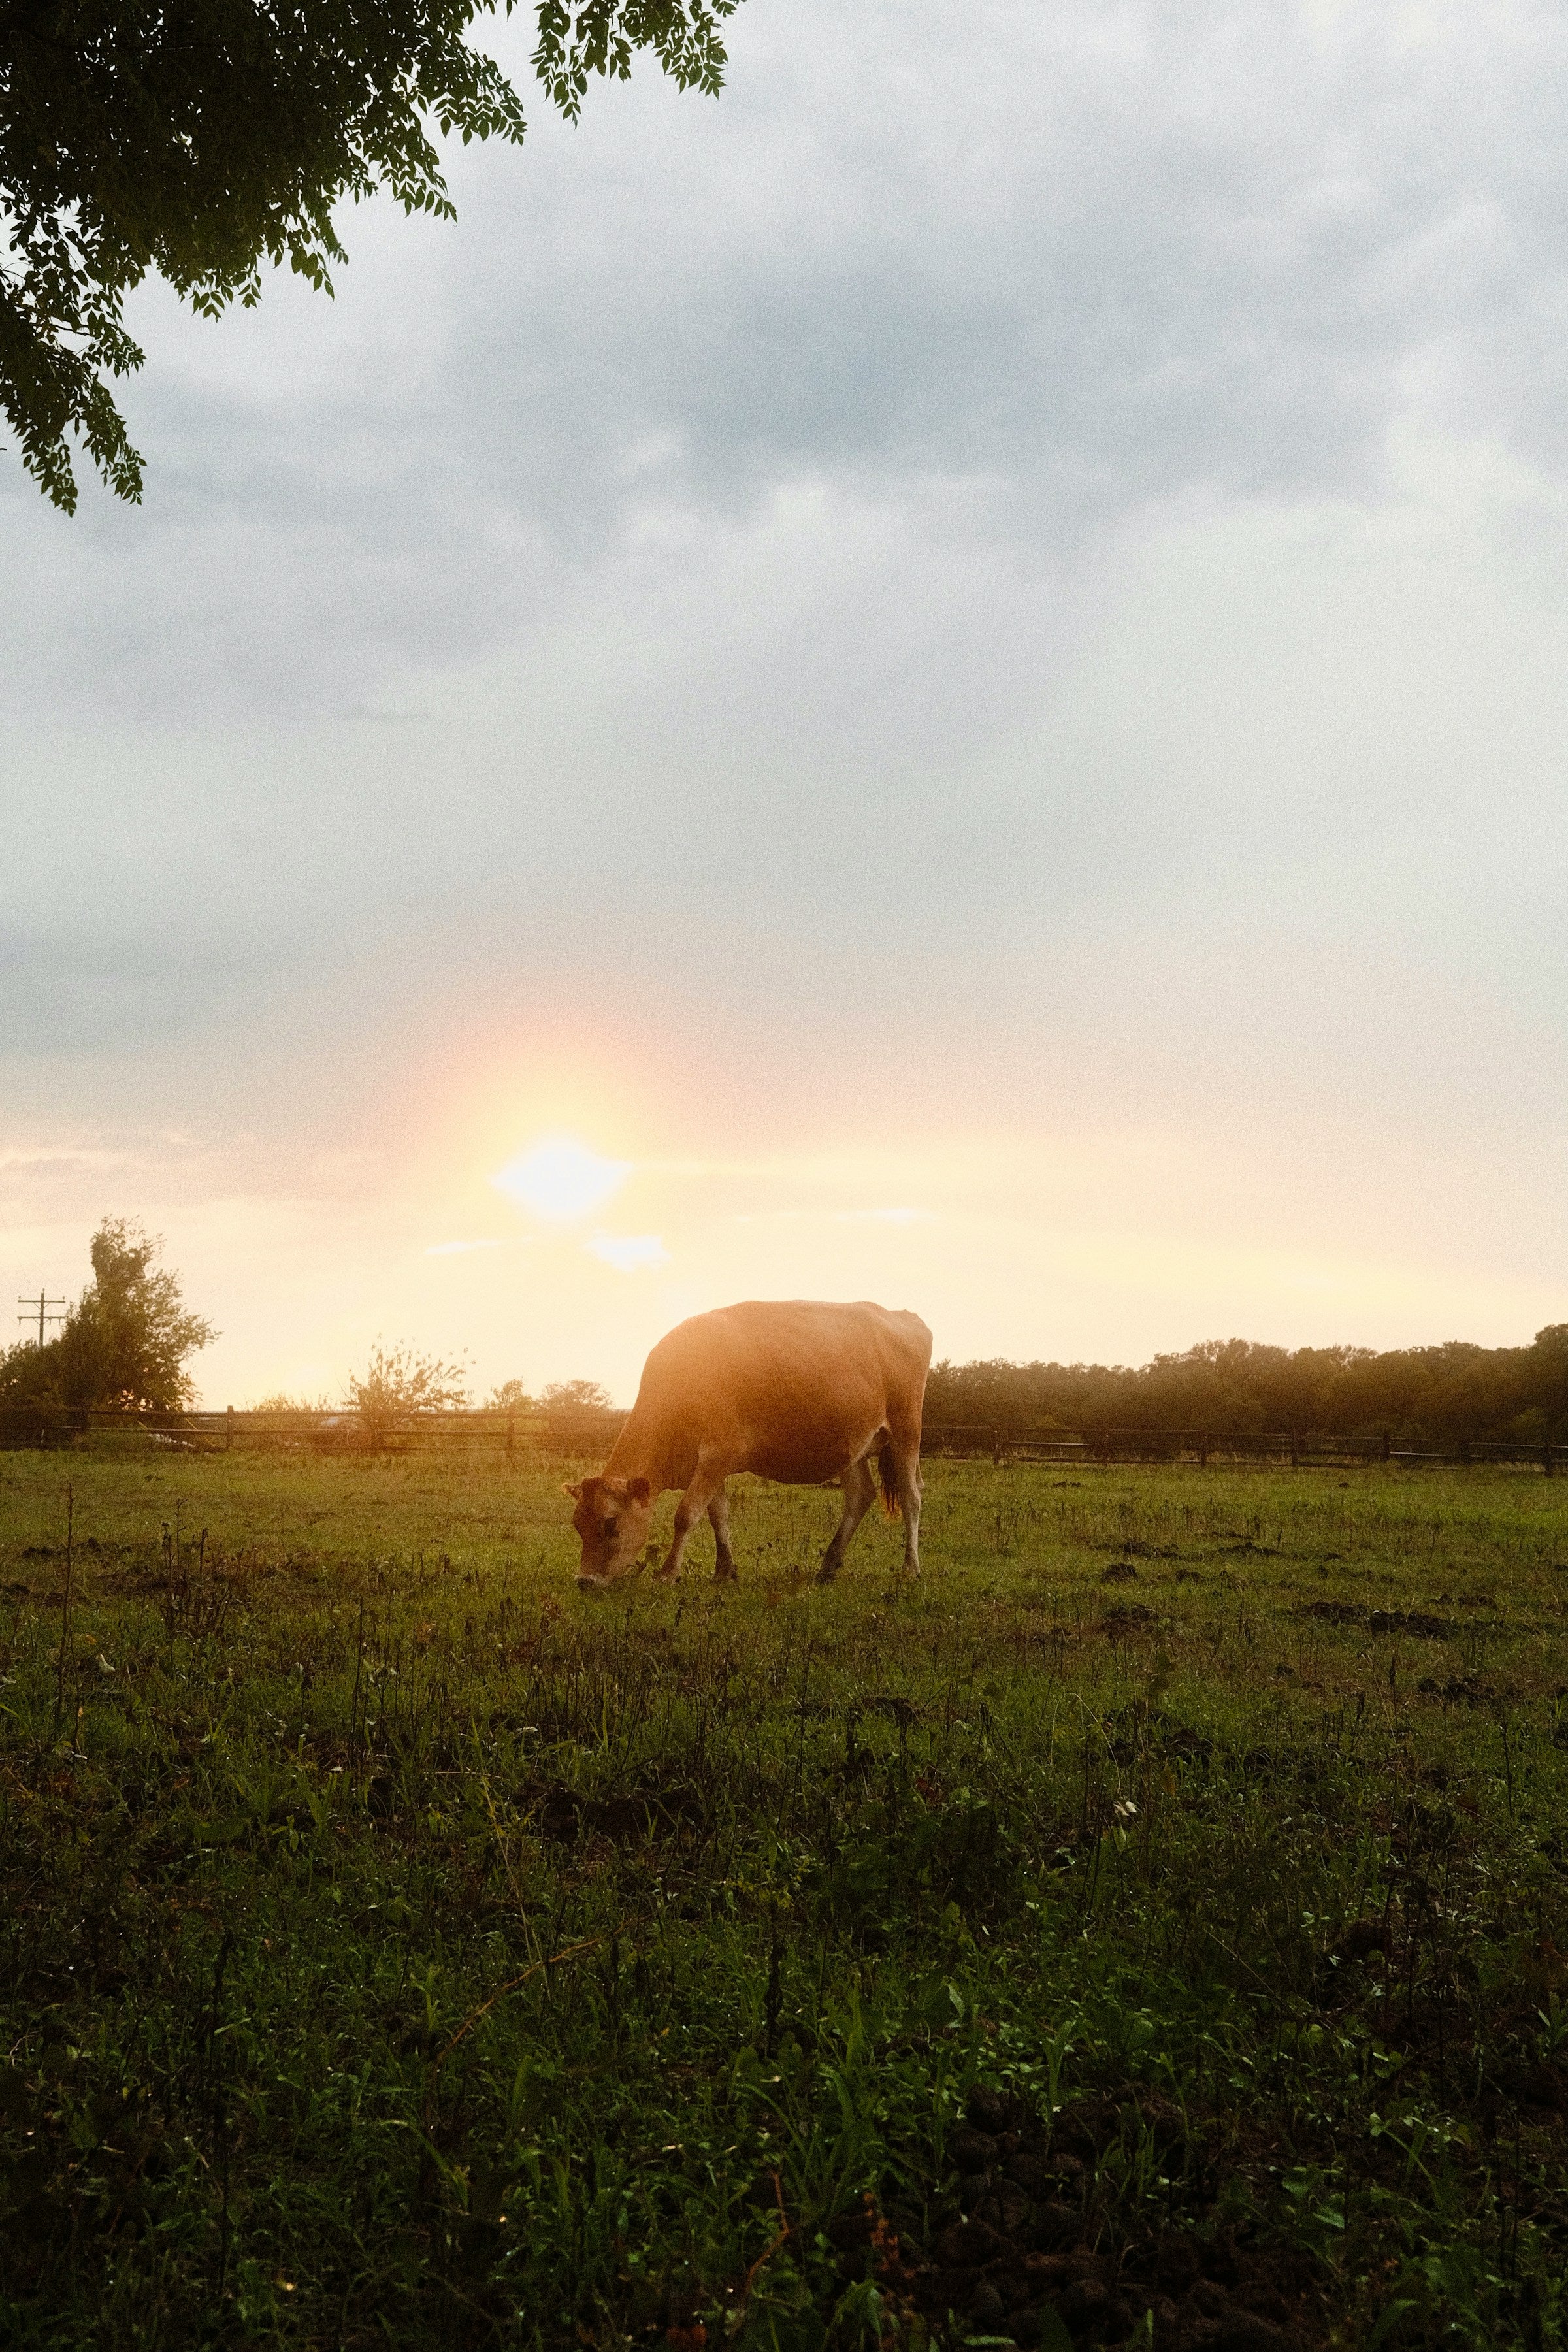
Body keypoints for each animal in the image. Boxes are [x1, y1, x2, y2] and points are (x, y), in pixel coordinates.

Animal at [566, 1299, 932, 1591]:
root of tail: (903, 1315)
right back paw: (828, 1566)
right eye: (577, 1525)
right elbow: (718, 1516)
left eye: (610, 1523)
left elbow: (686, 1514)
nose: (585, 1581)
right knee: (860, 1495)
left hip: (906, 1429)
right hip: (852, 1443)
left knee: (911, 1494)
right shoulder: (710, 1463)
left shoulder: (719, 1454)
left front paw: (667, 1574)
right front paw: (724, 1571)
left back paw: (910, 1568)